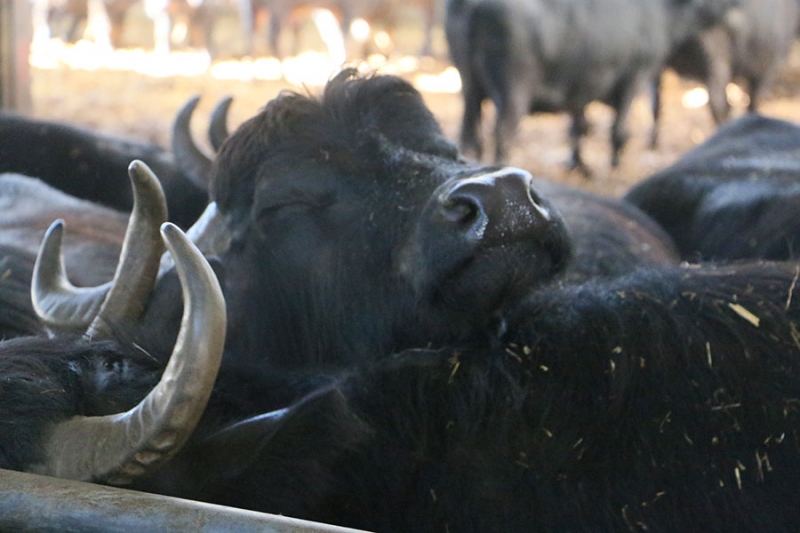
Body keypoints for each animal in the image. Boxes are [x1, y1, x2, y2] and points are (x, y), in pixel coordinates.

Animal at [444, 0, 736, 172]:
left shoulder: (579, 87)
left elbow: (578, 126)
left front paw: (579, 164)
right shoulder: (634, 76)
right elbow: (618, 129)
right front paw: (614, 163)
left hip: (469, 87)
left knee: (470, 136)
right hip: (513, 91)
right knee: (503, 133)